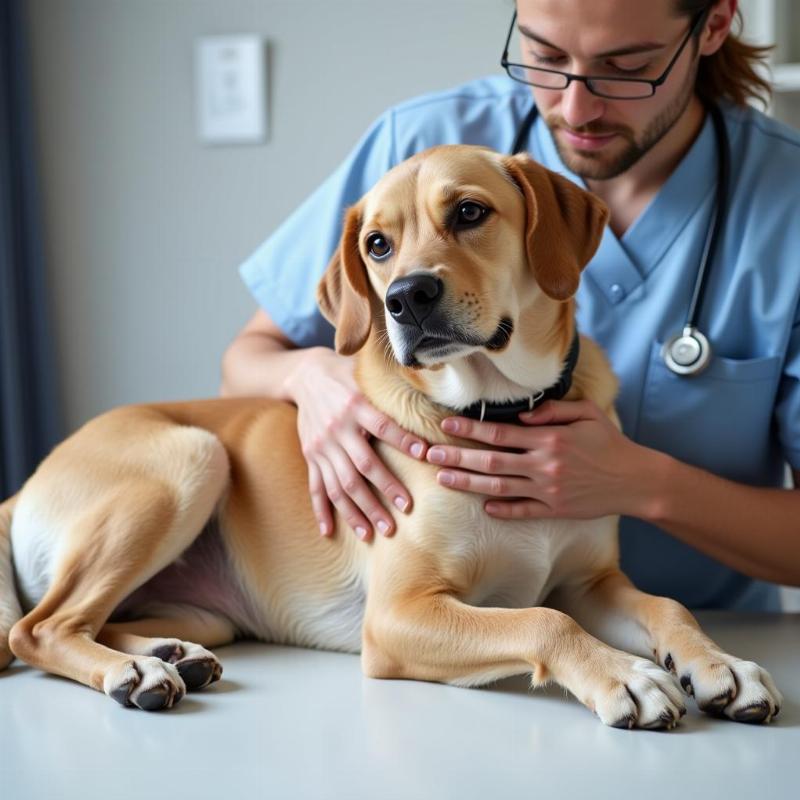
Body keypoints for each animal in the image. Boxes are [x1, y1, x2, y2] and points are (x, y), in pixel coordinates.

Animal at [0, 144, 780, 724]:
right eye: (376, 244)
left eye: (470, 212)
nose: (407, 297)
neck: (497, 409)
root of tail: (24, 486)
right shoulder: (402, 614)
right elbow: (539, 622)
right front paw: (626, 675)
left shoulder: (590, 582)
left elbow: (666, 605)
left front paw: (721, 665)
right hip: (193, 458)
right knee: (38, 627)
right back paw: (133, 671)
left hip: (203, 601)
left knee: (81, 620)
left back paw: (167, 653)